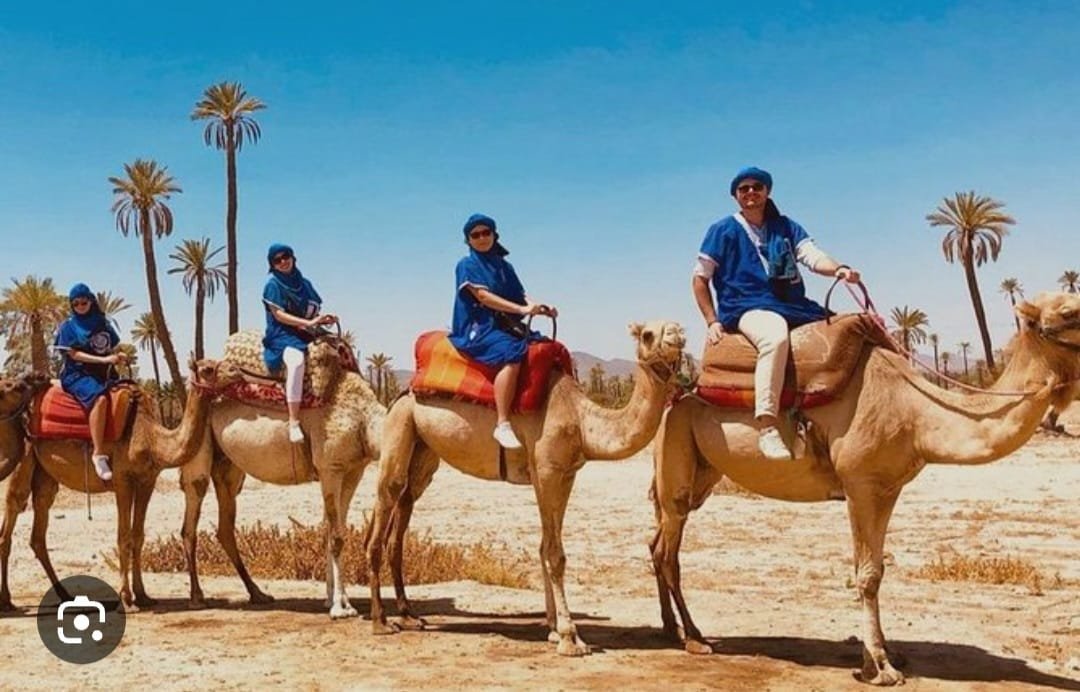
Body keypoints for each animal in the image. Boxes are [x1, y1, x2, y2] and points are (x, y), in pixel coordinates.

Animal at [0, 360, 217, 610]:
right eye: (209, 369)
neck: (151, 438)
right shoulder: (122, 480)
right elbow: (123, 536)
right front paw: (126, 597)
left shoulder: (147, 481)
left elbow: (138, 536)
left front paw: (143, 595)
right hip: (24, 454)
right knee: (14, 507)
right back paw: (7, 600)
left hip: (45, 473)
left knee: (39, 525)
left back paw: (65, 595)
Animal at [179, 336, 385, 617]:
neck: (363, 418)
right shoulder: (330, 468)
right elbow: (336, 537)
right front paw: (340, 608)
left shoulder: (353, 470)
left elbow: (333, 531)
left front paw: (335, 599)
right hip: (198, 448)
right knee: (191, 515)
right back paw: (197, 598)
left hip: (229, 469)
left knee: (224, 525)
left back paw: (258, 594)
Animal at [367, 320, 687, 656]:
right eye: (648, 334)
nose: (677, 333)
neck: (581, 422)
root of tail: (404, 392)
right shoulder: (546, 471)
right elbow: (555, 553)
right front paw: (570, 637)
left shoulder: (565, 474)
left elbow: (545, 546)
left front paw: (553, 630)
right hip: (399, 425)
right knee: (387, 499)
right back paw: (380, 621)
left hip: (423, 448)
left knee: (404, 506)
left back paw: (408, 615)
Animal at [650, 292, 1080, 685]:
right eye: (1068, 311)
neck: (916, 414)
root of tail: (681, 391)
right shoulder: (859, 485)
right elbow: (867, 575)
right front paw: (880, 666)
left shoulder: (888, 489)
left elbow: (877, 569)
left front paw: (884, 654)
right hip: (676, 454)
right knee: (670, 551)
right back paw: (695, 638)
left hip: (702, 473)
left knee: (658, 545)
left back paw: (672, 629)